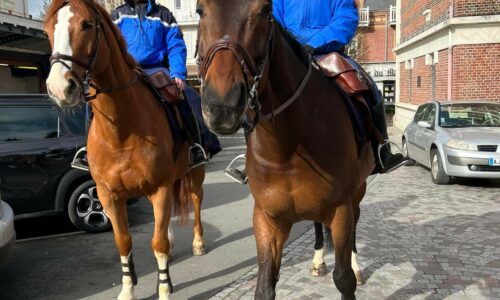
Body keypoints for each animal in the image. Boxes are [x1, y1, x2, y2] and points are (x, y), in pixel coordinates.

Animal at [44, 1, 206, 298]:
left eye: (86, 24)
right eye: (49, 29)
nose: (59, 87)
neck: (121, 131)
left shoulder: (159, 188)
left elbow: (157, 244)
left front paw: (164, 288)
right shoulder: (109, 195)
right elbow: (124, 241)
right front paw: (129, 288)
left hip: (195, 173)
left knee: (196, 201)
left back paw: (198, 243)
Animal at [197, 1, 374, 298]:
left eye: (265, 10)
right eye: (200, 10)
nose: (222, 105)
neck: (287, 150)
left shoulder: (341, 209)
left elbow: (344, 279)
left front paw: (350, 270)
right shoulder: (267, 218)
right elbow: (265, 285)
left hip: (357, 193)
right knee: (317, 224)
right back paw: (318, 261)